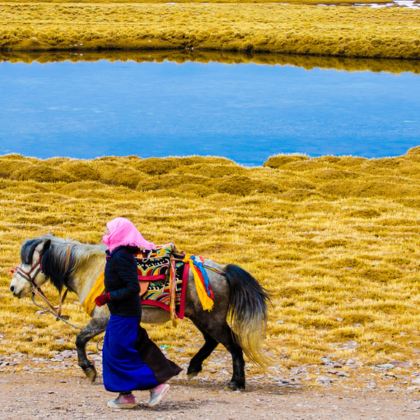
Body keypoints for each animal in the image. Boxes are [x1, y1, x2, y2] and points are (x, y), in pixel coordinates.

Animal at [9, 236, 270, 390]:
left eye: (29, 261)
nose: (13, 288)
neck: (89, 268)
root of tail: (222, 270)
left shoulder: (102, 319)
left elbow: (80, 339)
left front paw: (90, 370)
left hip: (211, 318)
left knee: (233, 344)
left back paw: (236, 382)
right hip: (200, 316)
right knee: (212, 342)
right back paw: (193, 368)